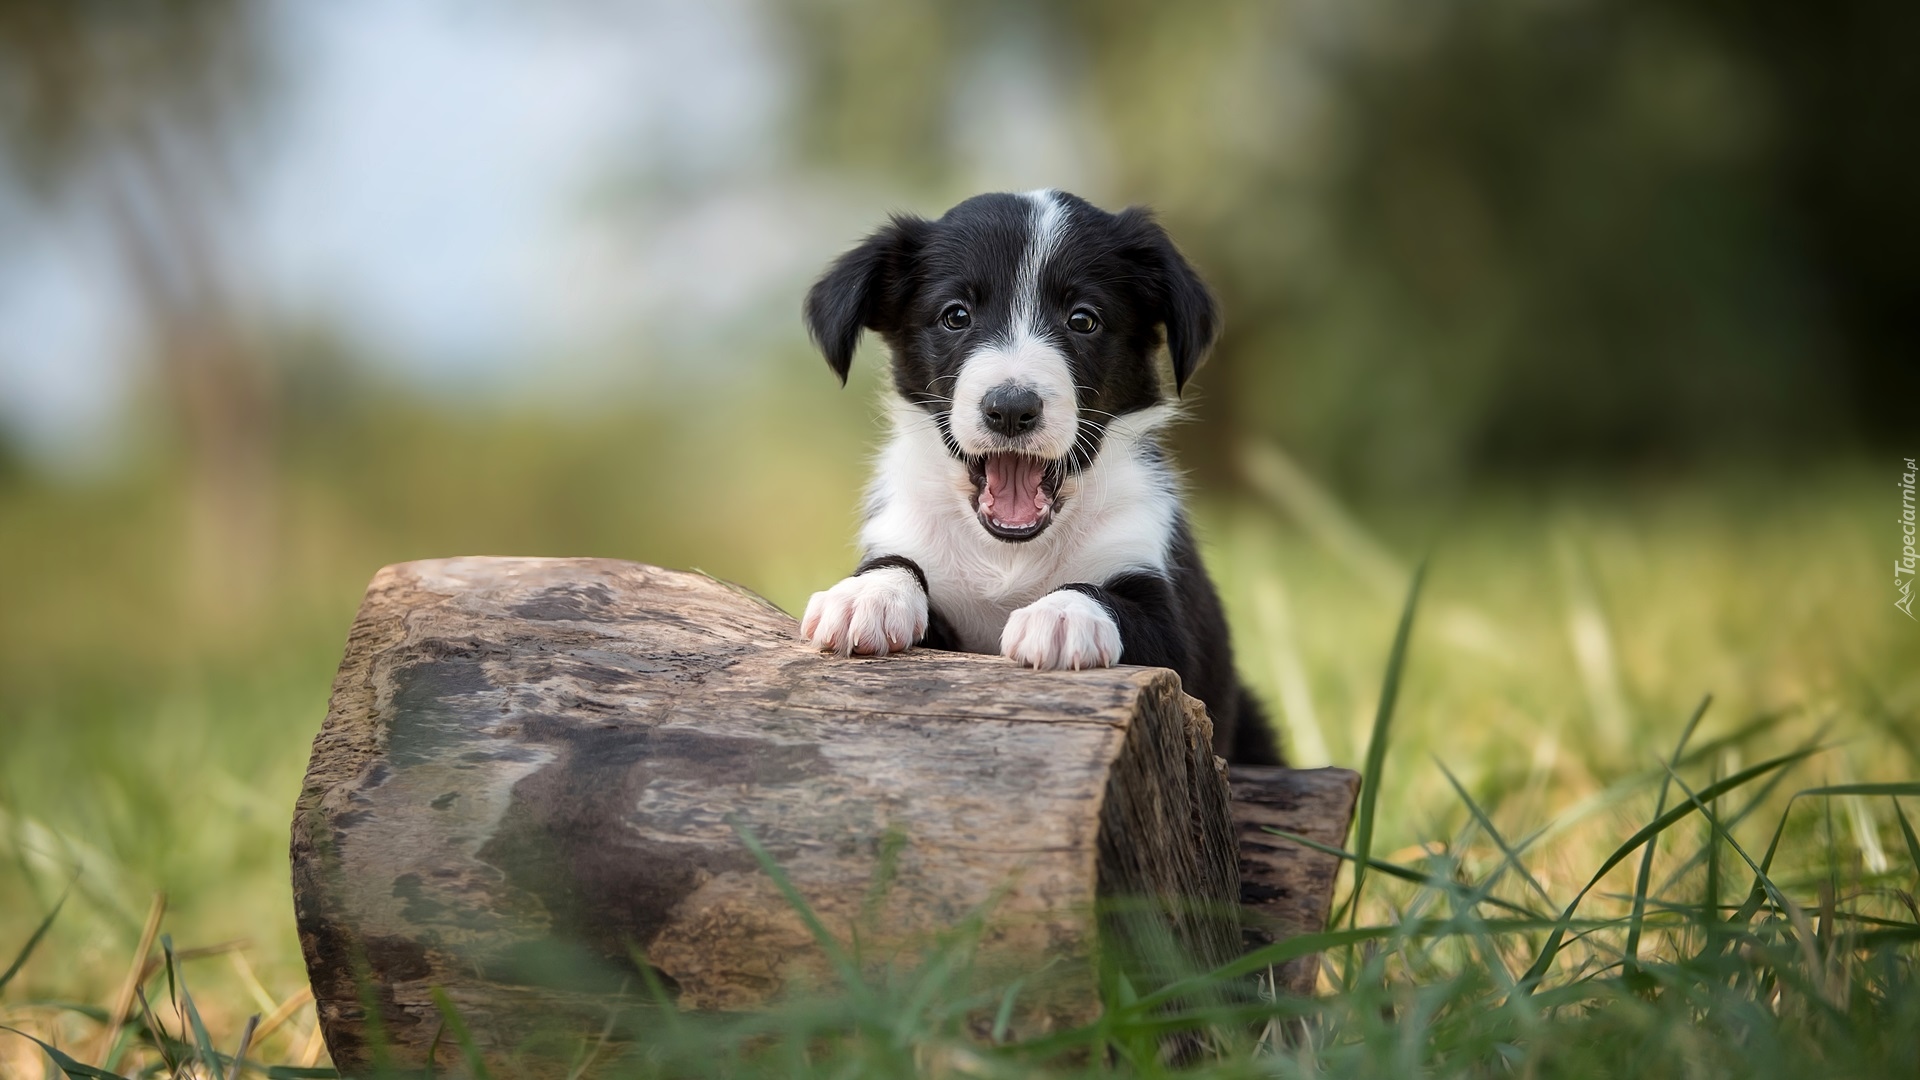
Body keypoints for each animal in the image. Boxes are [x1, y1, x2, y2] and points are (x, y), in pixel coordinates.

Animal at [798, 191, 1290, 764]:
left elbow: (1114, 601)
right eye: (955, 316)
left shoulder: (1178, 641)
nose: (1011, 409)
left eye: (1083, 320)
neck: (1009, 555)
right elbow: (898, 563)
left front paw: (1061, 613)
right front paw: (867, 596)